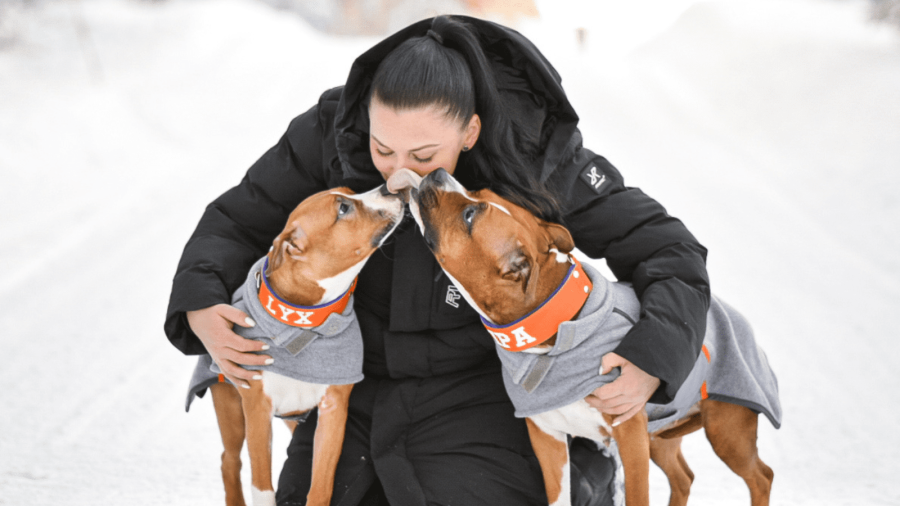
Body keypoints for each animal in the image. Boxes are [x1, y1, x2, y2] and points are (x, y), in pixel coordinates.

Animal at [186, 185, 404, 506]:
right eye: (343, 208)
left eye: (350, 191)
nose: (389, 188)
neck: (305, 324)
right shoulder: (257, 410)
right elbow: (262, 487)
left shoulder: (333, 411)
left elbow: (321, 484)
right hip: (231, 406)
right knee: (229, 461)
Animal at [388, 168, 781, 506]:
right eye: (478, 192)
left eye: (470, 213)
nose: (438, 172)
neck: (552, 329)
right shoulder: (547, 436)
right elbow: (559, 495)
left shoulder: (630, 435)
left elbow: (637, 497)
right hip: (661, 436)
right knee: (683, 477)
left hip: (726, 431)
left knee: (761, 476)